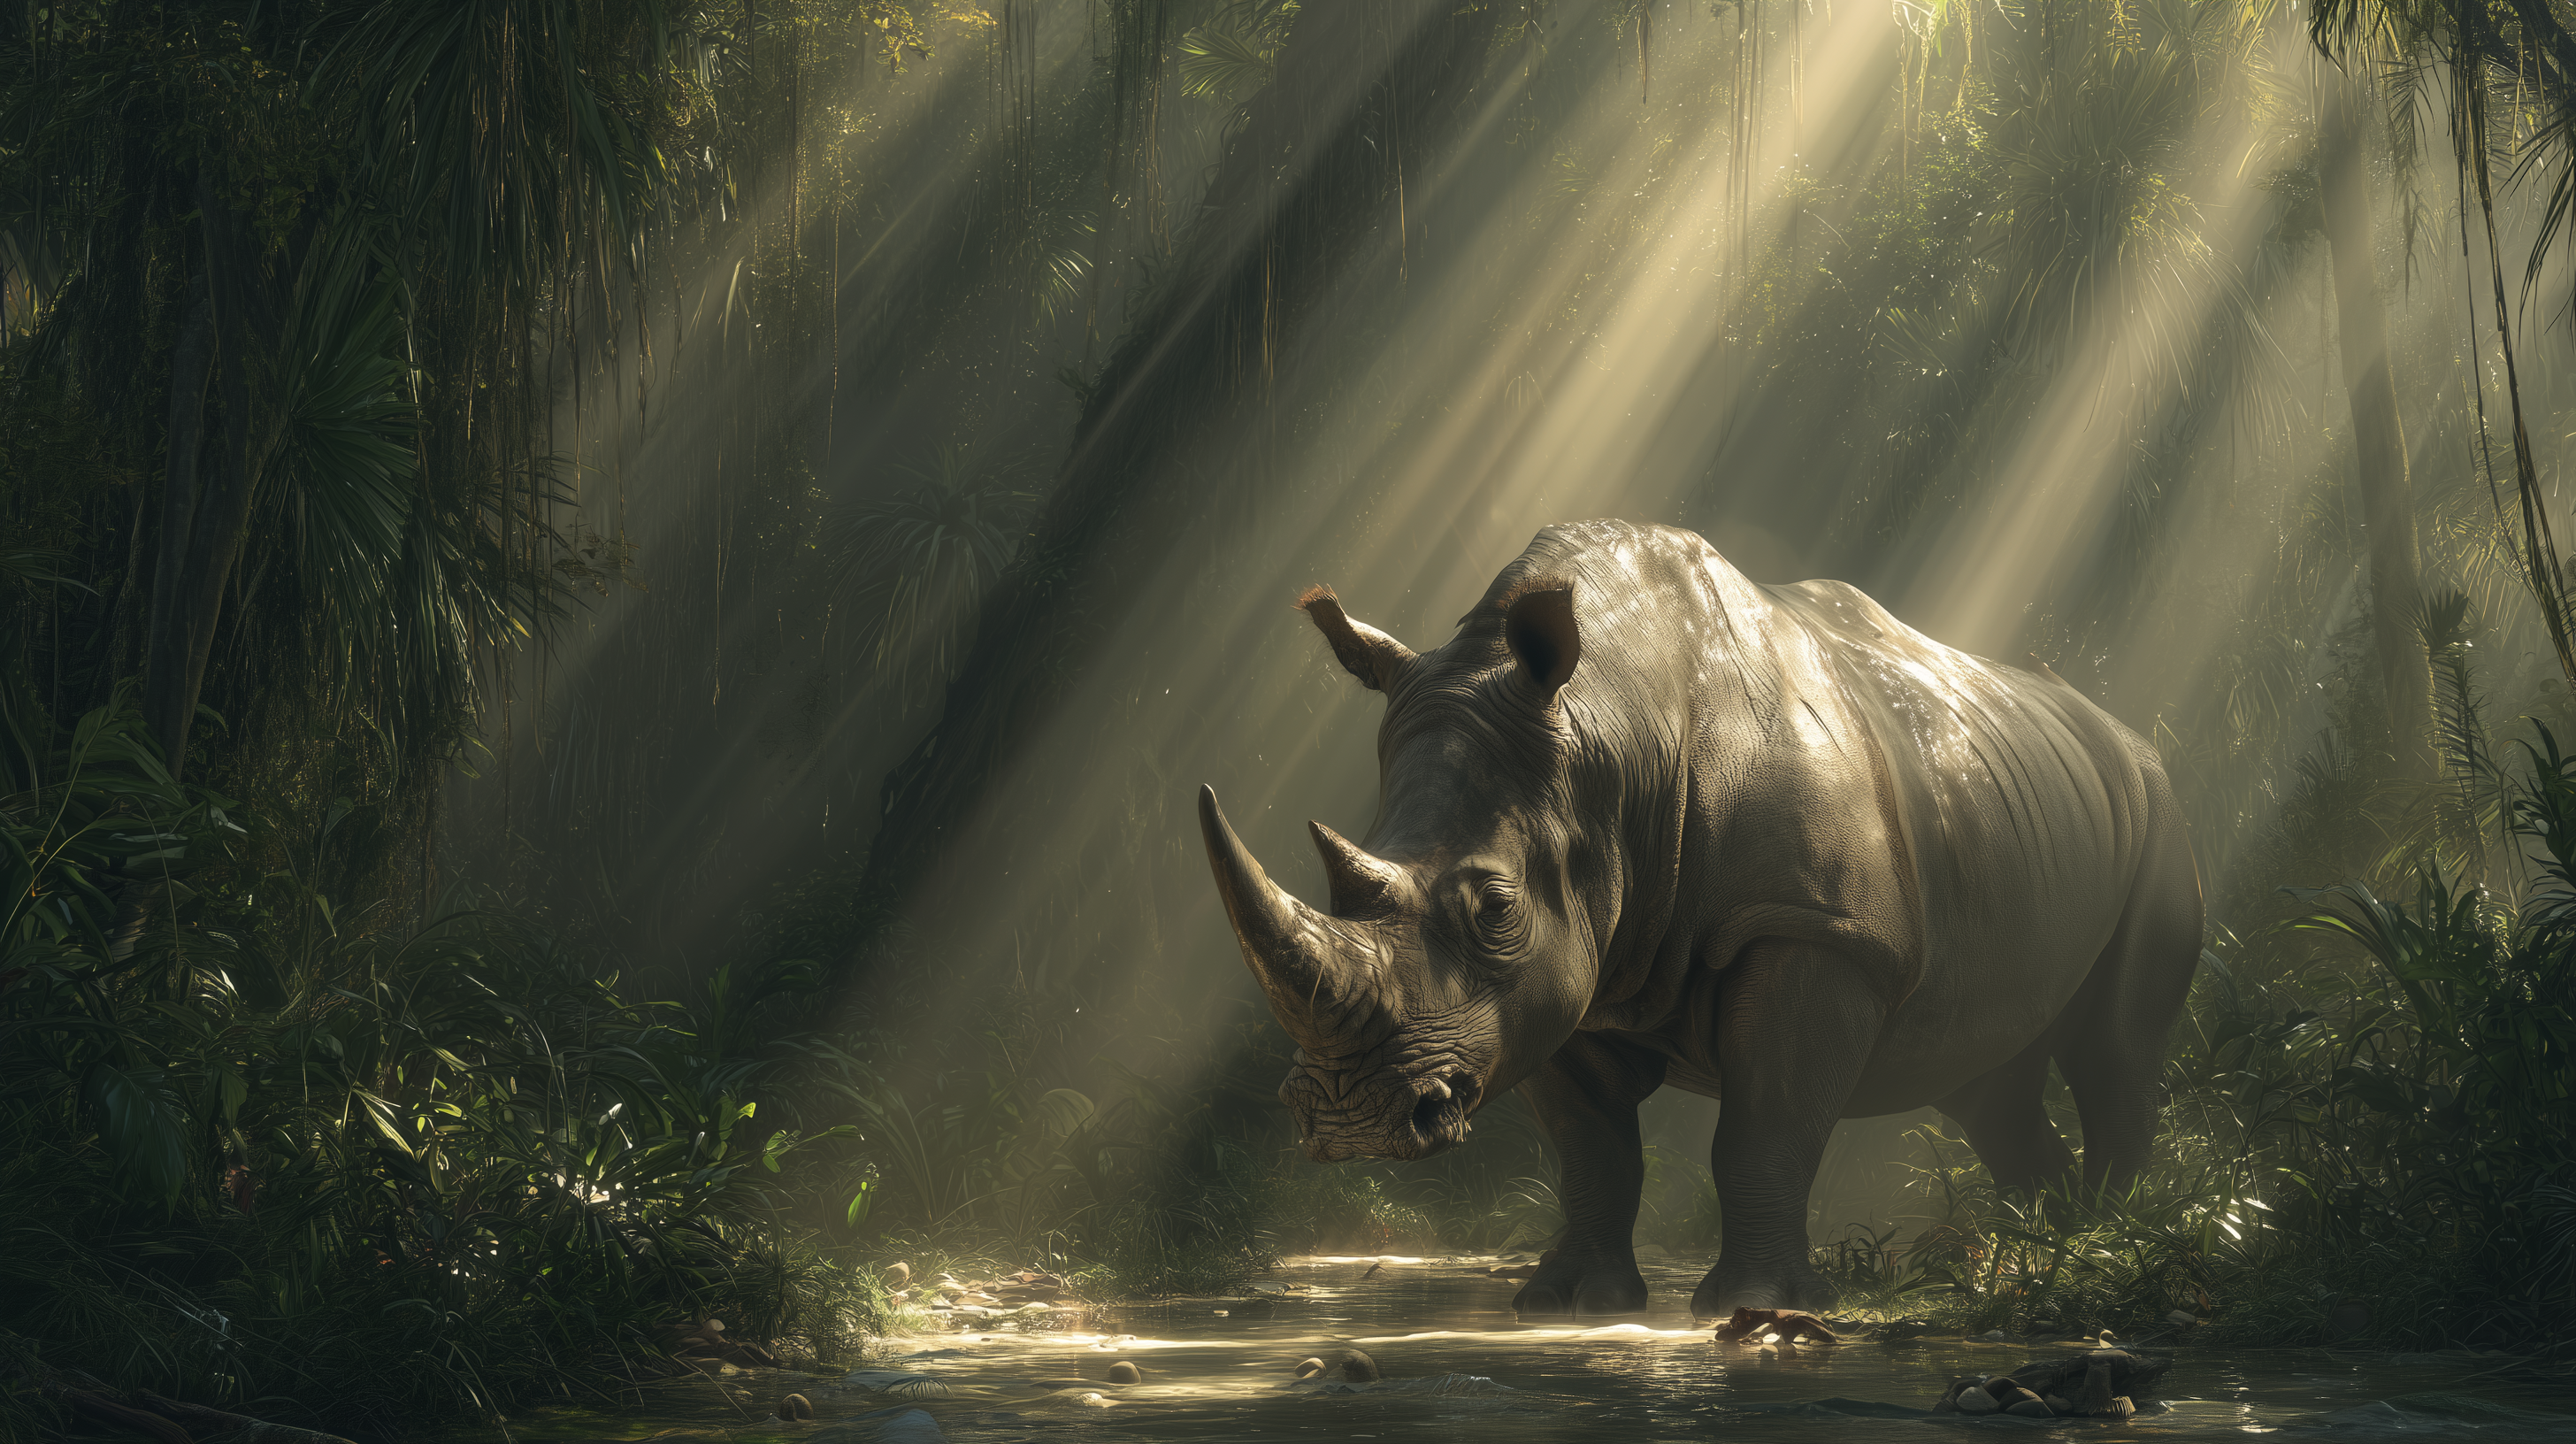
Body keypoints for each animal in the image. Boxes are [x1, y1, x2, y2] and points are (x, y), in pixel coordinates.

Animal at [1197, 521, 2201, 1318]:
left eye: (1495, 908)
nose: (1349, 1122)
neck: (1611, 730)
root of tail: (2125, 736)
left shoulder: (1812, 928)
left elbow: (1765, 1124)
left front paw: (1758, 1308)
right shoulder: (1566, 980)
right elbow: (1591, 1150)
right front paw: (1568, 1305)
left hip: (2156, 806)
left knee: (2115, 1050)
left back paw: (2109, 1241)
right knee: (1985, 1081)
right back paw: (2055, 1240)